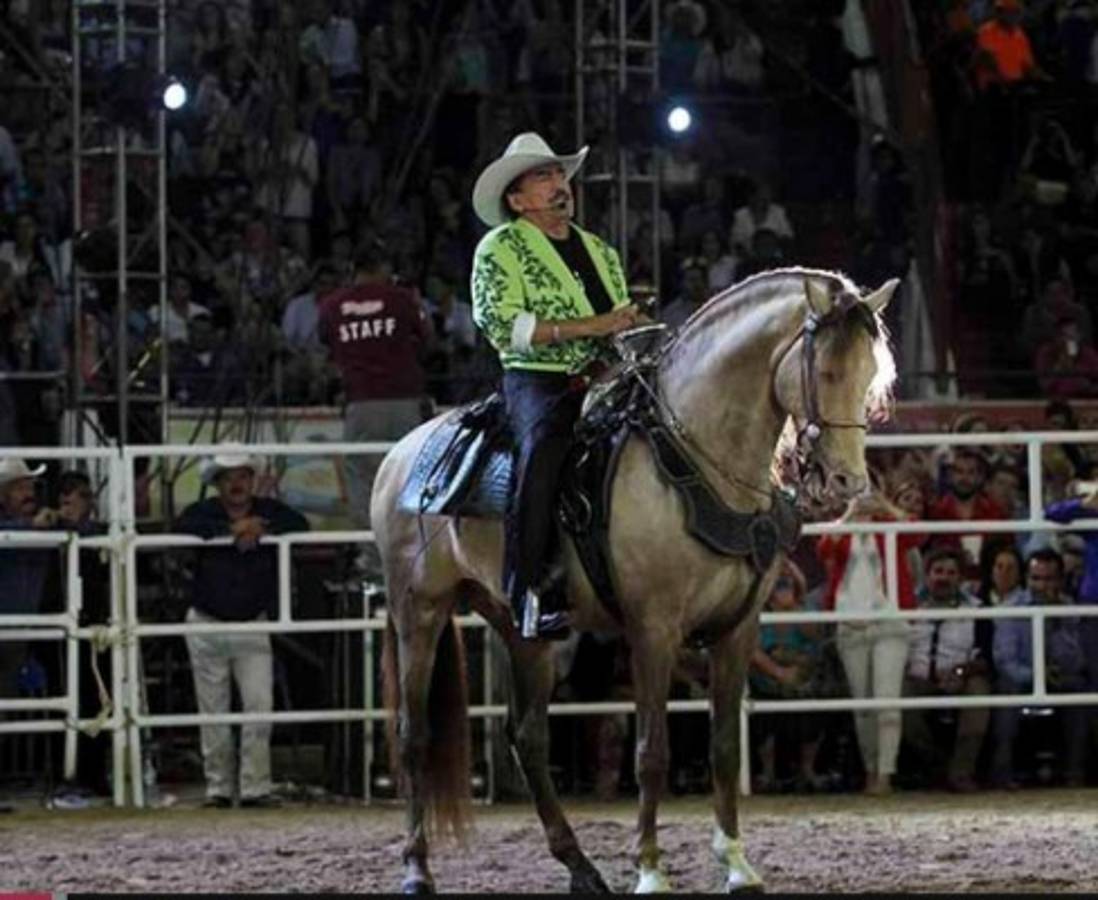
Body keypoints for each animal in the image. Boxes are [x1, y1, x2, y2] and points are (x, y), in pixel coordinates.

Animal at [371, 268, 898, 893]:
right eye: (828, 371)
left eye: (870, 374)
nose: (847, 482)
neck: (696, 459)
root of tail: (400, 456)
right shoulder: (653, 630)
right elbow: (651, 752)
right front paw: (649, 870)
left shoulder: (737, 630)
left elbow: (723, 746)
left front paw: (736, 863)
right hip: (419, 612)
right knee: (413, 737)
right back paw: (416, 869)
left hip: (524, 630)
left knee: (528, 736)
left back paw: (580, 866)